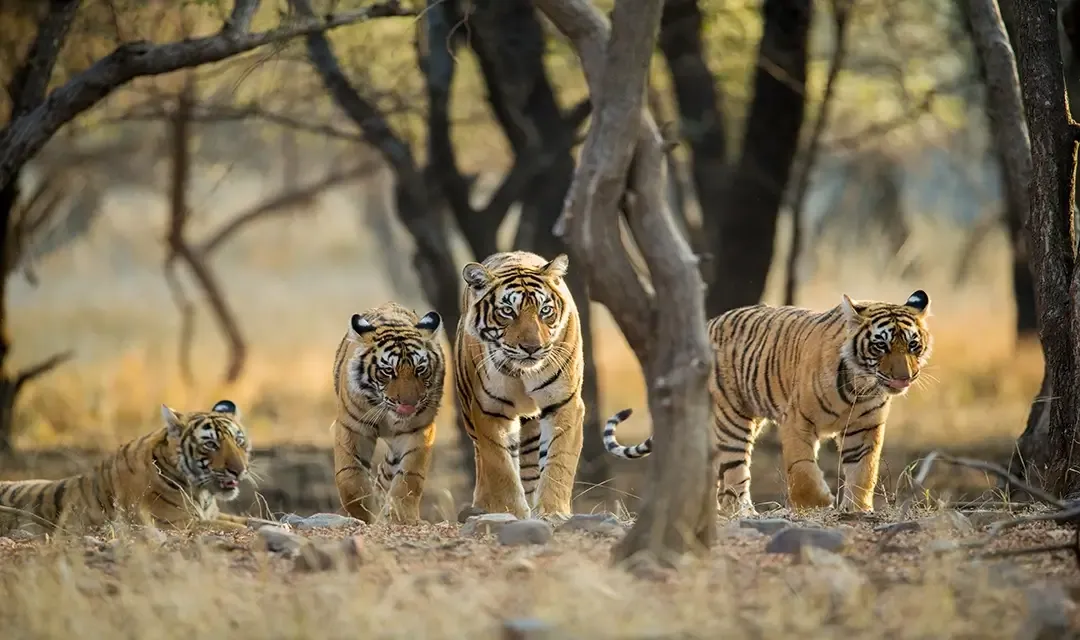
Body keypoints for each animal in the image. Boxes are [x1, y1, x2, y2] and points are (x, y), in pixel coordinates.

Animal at [0, 399, 263, 536]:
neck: (202, 493)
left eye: (239, 441)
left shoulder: (213, 514)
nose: (239, 470)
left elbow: (256, 521)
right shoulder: (175, 522)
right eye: (210, 444)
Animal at [332, 302, 445, 525]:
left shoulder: (418, 430)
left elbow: (409, 477)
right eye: (388, 371)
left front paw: (401, 517)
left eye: (420, 369)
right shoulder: (352, 427)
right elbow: (350, 477)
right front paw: (362, 516)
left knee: (386, 474)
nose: (409, 404)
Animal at [456, 250, 586, 520]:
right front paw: (510, 512)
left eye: (545, 310)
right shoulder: (489, 410)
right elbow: (500, 467)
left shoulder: (563, 404)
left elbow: (558, 462)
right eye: (507, 311)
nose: (532, 348)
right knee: (483, 460)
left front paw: (552, 512)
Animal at [602, 290, 934, 516]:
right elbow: (802, 470)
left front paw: (857, 509)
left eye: (913, 345)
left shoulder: (864, 428)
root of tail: (708, 323)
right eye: (881, 346)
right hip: (732, 420)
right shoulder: (797, 420)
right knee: (734, 475)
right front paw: (819, 503)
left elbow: (864, 470)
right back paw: (744, 513)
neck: (860, 385)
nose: (905, 377)